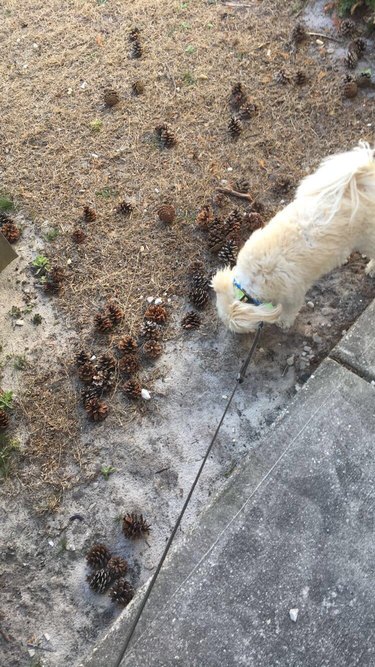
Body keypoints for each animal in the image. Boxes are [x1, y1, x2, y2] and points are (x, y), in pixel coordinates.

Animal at [213, 144, 374, 336]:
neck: (254, 278)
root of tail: (362, 182)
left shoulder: (293, 295)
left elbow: (289, 310)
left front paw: (283, 322)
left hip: (367, 239)